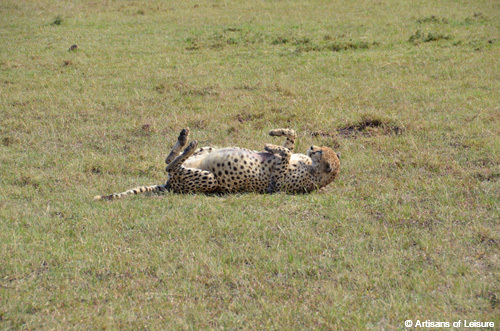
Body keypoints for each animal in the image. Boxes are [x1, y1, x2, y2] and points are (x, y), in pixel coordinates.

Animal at [94, 127, 340, 200]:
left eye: (320, 152)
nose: (312, 147)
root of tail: (170, 185)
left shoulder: (277, 182)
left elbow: (286, 153)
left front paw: (270, 144)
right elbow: (291, 139)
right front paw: (275, 134)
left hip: (210, 179)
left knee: (170, 165)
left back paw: (188, 142)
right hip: (209, 149)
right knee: (169, 160)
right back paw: (185, 138)